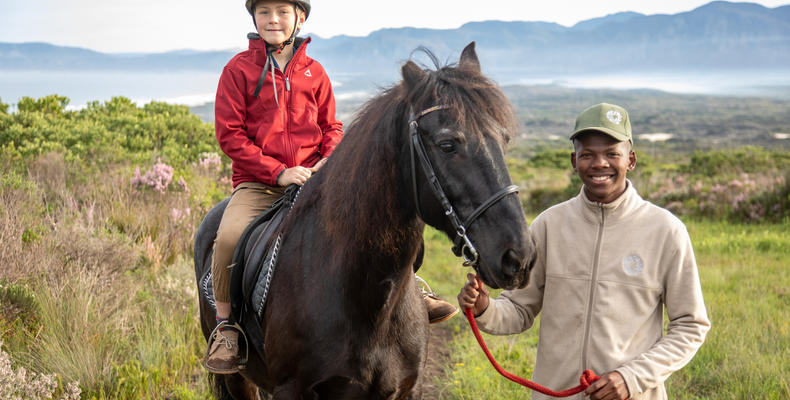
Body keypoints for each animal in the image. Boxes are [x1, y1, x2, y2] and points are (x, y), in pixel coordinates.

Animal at [194, 42, 536, 400]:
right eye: (447, 145)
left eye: (504, 139)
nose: (518, 256)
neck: (368, 301)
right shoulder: (291, 389)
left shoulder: (404, 389)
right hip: (238, 379)